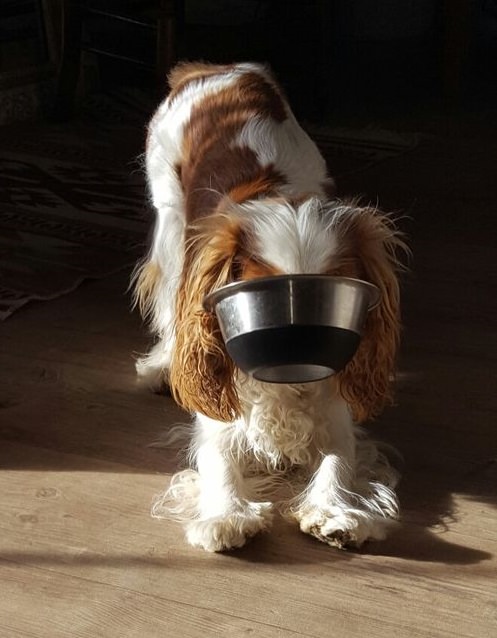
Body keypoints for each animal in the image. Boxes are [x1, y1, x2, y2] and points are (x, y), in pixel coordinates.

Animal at [134, 62, 404, 552]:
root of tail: (219, 68)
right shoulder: (219, 413)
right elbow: (220, 458)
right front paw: (225, 515)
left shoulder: (337, 409)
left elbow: (339, 458)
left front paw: (335, 511)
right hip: (170, 218)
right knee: (168, 302)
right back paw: (162, 366)